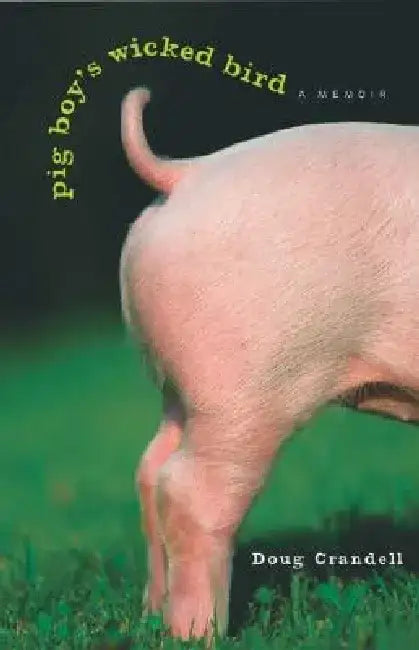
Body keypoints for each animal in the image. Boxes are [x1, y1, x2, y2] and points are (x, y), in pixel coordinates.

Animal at [119, 87, 419, 641]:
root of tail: (187, 172)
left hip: (182, 387)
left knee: (151, 470)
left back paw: (152, 617)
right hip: (244, 389)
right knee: (190, 491)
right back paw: (201, 633)